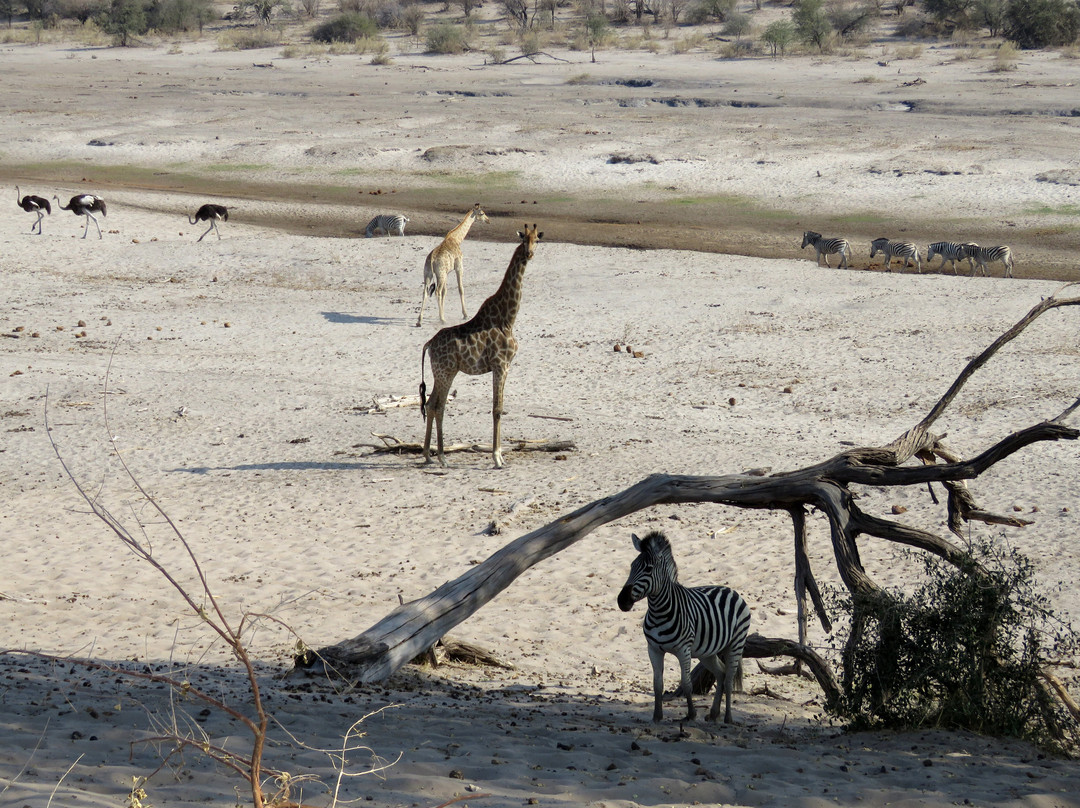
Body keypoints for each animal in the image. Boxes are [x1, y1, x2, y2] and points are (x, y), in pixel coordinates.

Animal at [419, 223, 544, 470]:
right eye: (524, 239)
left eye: (538, 240)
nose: (529, 254)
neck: (508, 318)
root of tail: (429, 345)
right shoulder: (501, 365)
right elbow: (497, 409)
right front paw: (497, 458)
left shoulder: (503, 367)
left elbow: (499, 408)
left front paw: (500, 456)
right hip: (446, 372)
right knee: (438, 406)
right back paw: (442, 457)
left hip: (442, 372)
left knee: (430, 404)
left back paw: (429, 455)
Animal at [617, 529, 751, 725]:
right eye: (632, 565)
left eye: (648, 568)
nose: (622, 601)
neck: (658, 611)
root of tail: (730, 590)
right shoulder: (653, 649)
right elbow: (657, 684)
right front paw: (657, 716)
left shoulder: (683, 650)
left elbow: (686, 683)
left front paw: (691, 714)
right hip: (707, 652)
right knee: (721, 673)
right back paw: (714, 713)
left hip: (736, 644)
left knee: (728, 678)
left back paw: (728, 717)